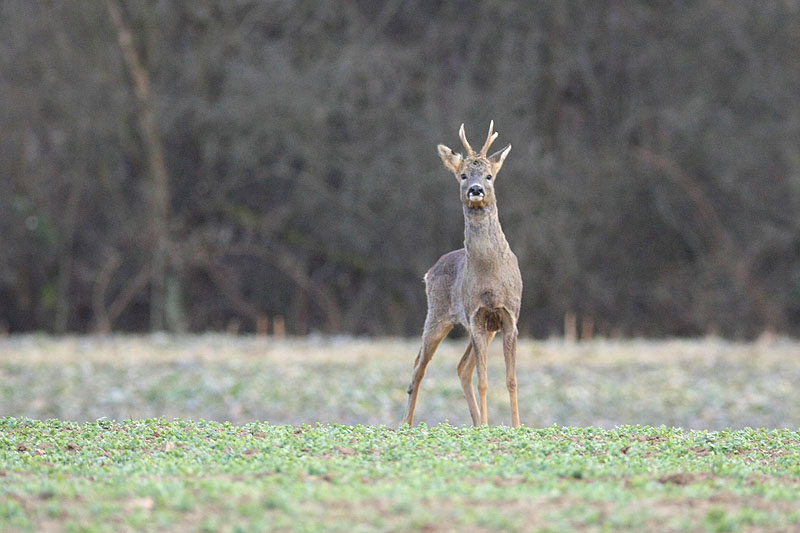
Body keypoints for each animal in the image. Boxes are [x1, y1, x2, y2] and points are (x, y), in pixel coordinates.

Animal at [400, 121, 524, 428]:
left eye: (490, 175)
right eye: (463, 175)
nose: (476, 190)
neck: (490, 275)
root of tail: (429, 272)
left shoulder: (508, 317)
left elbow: (511, 380)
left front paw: (516, 426)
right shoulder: (476, 316)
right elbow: (484, 380)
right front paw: (492, 426)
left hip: (478, 327)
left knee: (461, 367)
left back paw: (477, 422)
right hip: (437, 314)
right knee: (419, 364)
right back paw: (406, 424)